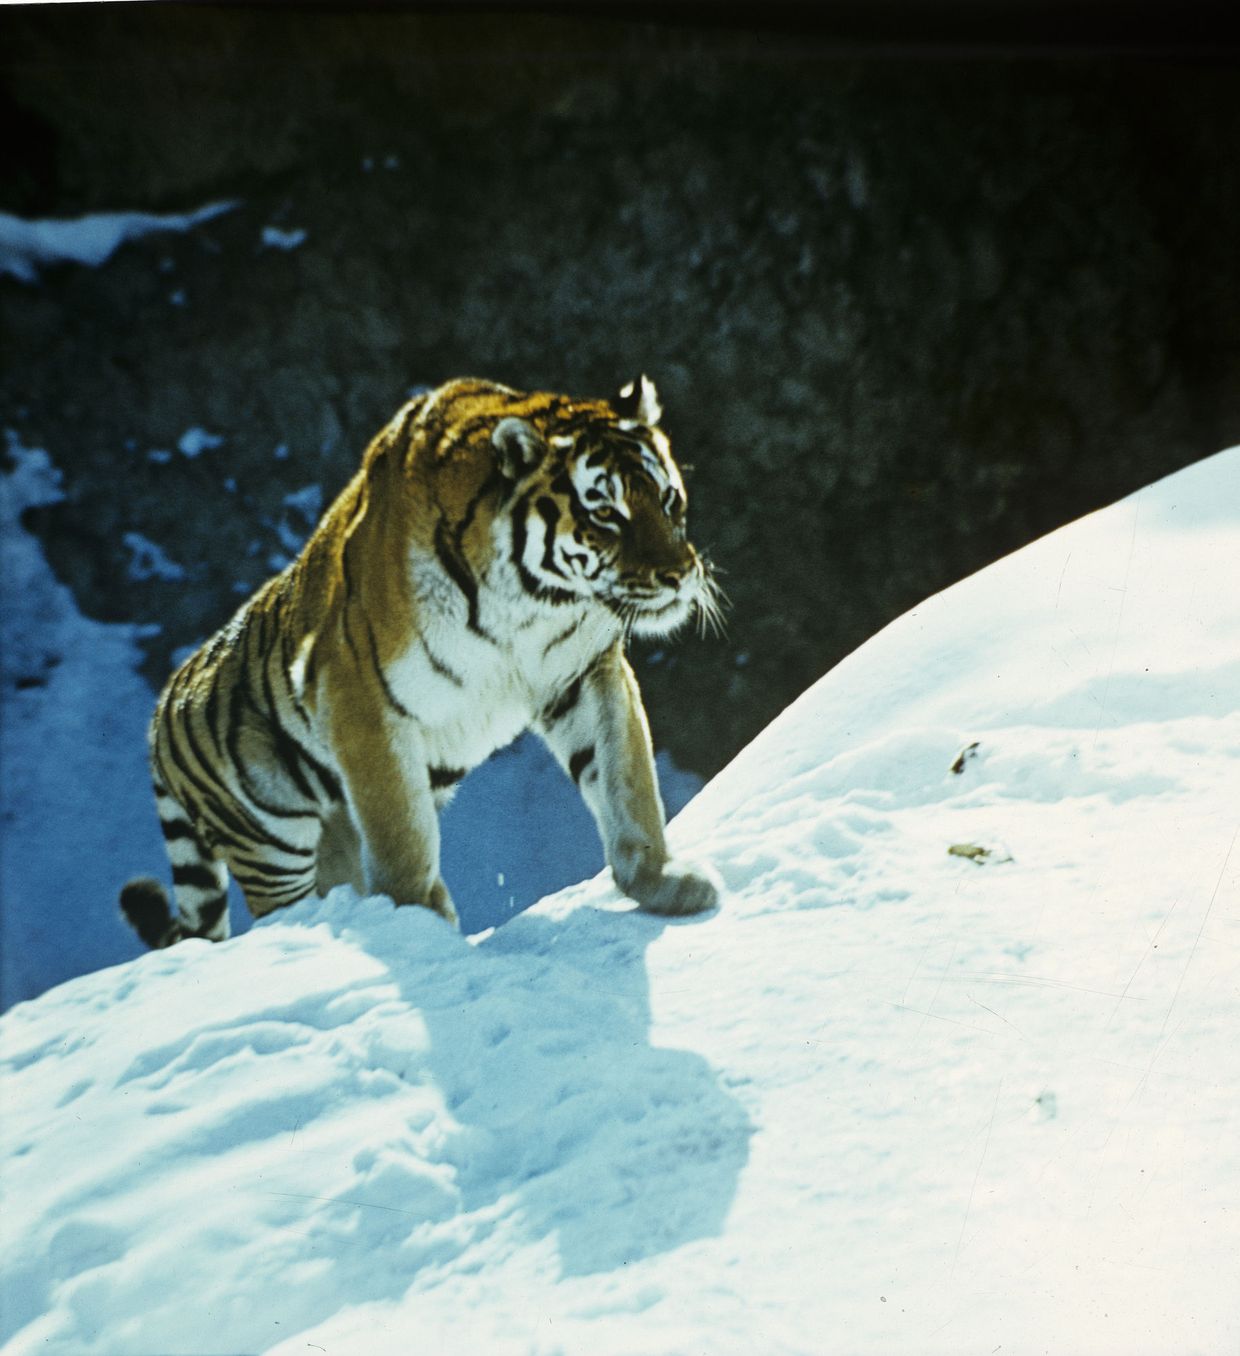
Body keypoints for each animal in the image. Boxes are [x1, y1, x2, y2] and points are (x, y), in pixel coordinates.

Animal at [119, 375, 724, 950]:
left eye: (669, 499)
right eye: (604, 514)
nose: (679, 574)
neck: (535, 604)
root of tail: (160, 710)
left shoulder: (582, 674)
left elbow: (626, 780)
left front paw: (663, 882)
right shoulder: (360, 700)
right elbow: (403, 836)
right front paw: (421, 930)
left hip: (329, 835)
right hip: (272, 845)